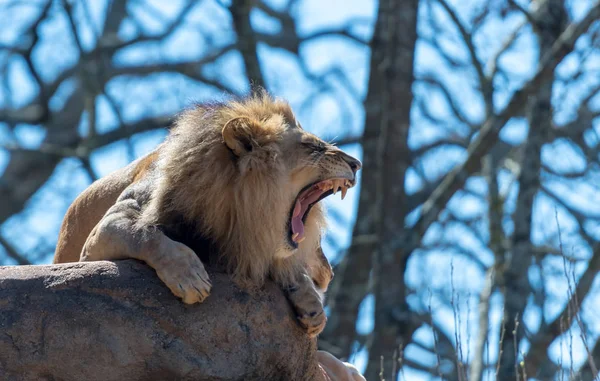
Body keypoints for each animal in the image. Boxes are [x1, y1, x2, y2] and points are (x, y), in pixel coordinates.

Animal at [52, 91, 360, 338]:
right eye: (314, 147)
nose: (356, 163)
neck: (233, 206)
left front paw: (311, 303)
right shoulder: (99, 237)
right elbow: (145, 233)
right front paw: (189, 276)